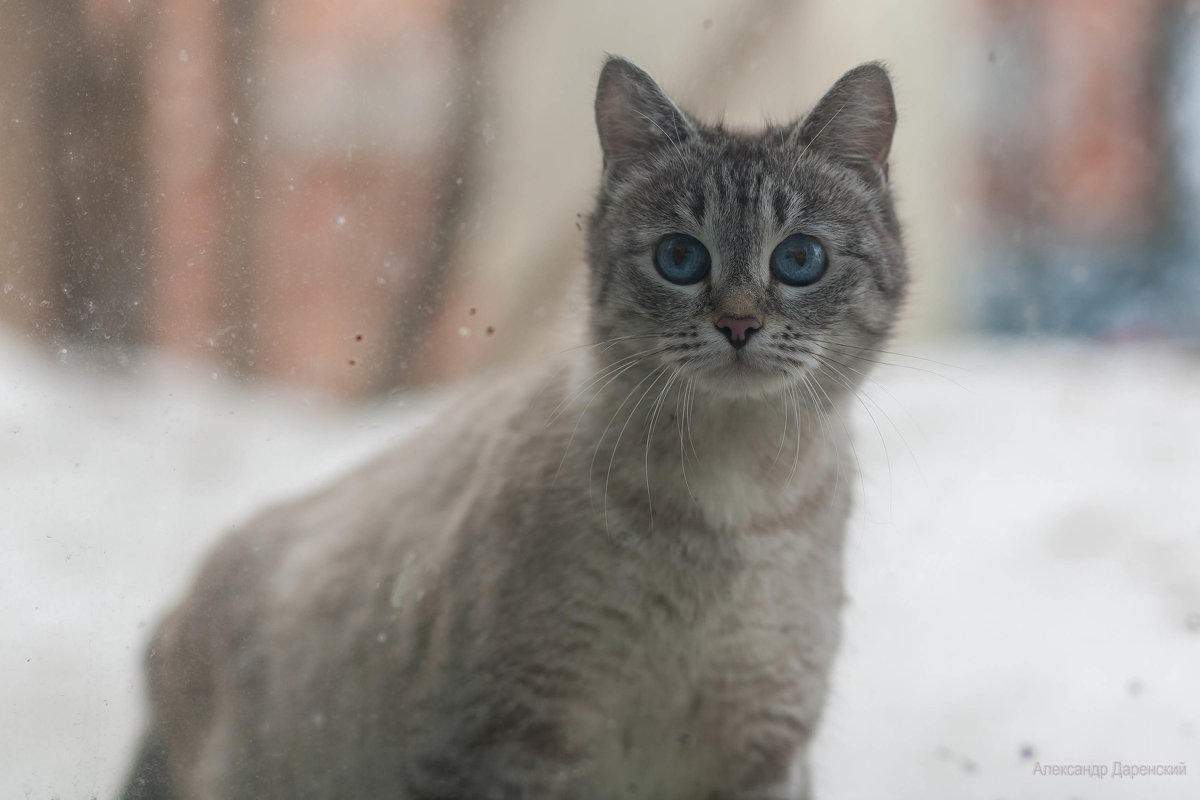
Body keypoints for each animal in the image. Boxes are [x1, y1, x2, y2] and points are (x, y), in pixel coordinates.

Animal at [121, 54, 902, 800]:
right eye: (681, 259)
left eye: (799, 259)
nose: (739, 325)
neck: (731, 499)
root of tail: (172, 628)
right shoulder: (504, 744)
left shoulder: (761, 756)